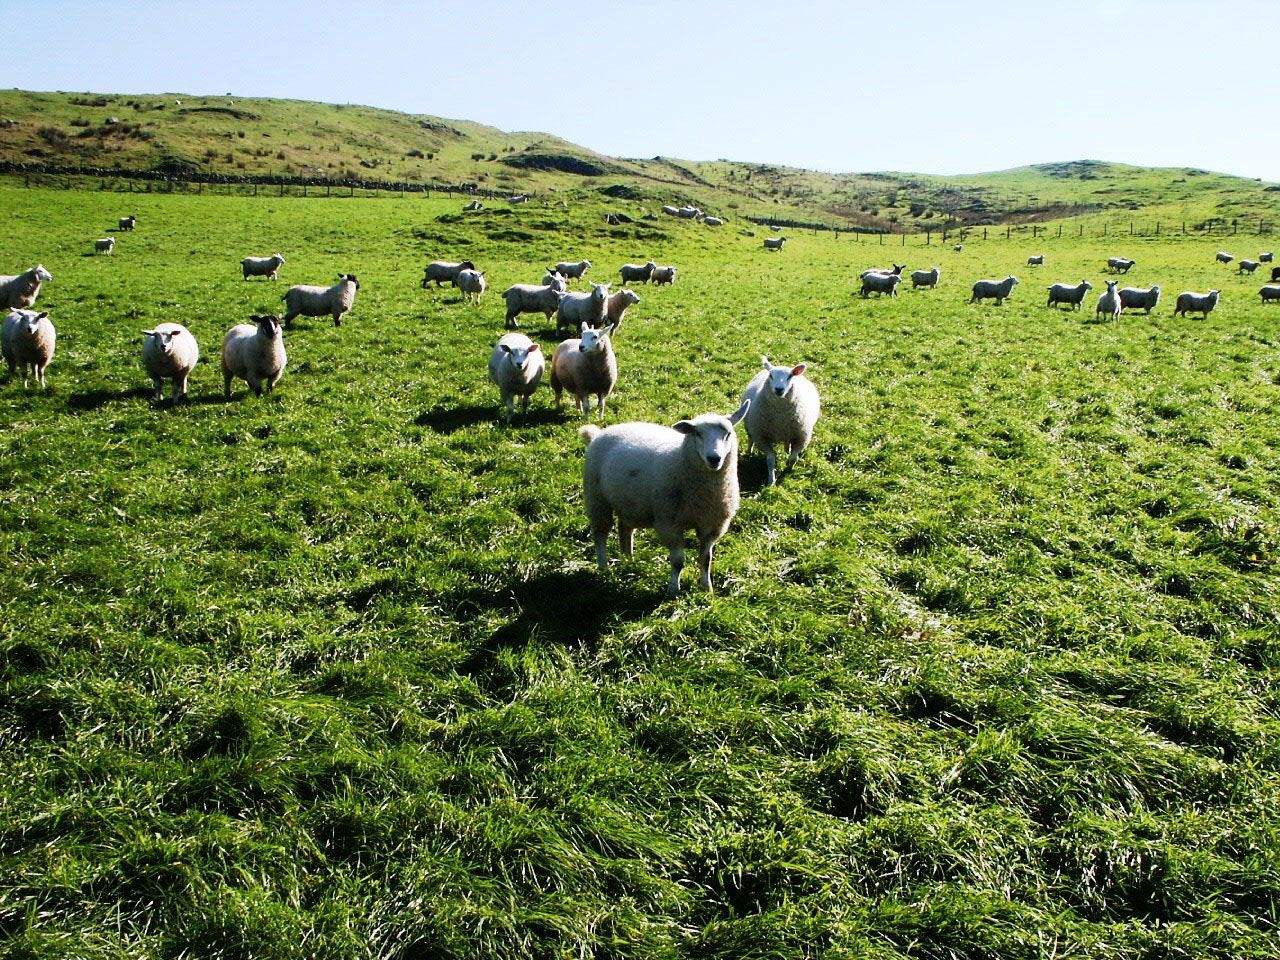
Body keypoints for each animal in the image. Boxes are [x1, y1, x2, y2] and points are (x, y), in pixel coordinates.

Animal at [578, 398, 752, 596]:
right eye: (698, 433)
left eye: (728, 433)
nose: (714, 458)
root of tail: (599, 433)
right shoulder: (669, 524)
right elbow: (678, 561)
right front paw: (673, 590)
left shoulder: (712, 525)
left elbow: (706, 559)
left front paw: (707, 587)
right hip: (597, 498)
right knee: (600, 534)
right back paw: (603, 567)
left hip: (630, 504)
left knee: (625, 529)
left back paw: (629, 560)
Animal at [741, 356, 820, 485]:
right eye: (771, 375)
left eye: (790, 376)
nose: (779, 389)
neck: (780, 416)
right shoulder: (761, 438)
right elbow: (770, 459)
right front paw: (771, 480)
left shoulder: (801, 437)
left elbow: (794, 458)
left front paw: (789, 468)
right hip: (750, 427)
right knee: (750, 439)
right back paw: (749, 452)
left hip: (789, 432)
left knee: (787, 443)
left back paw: (787, 450)